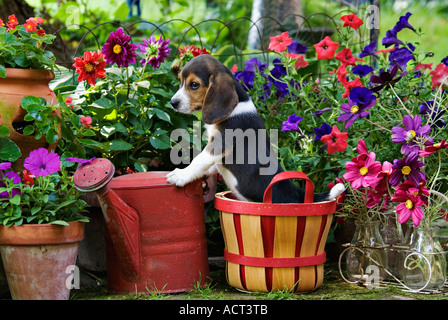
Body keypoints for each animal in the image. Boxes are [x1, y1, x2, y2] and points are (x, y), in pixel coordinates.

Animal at [166, 54, 344, 202]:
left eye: (194, 85)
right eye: (181, 81)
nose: (173, 103)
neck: (235, 107)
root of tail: (299, 194)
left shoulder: (221, 142)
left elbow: (200, 159)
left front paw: (181, 174)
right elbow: (209, 166)